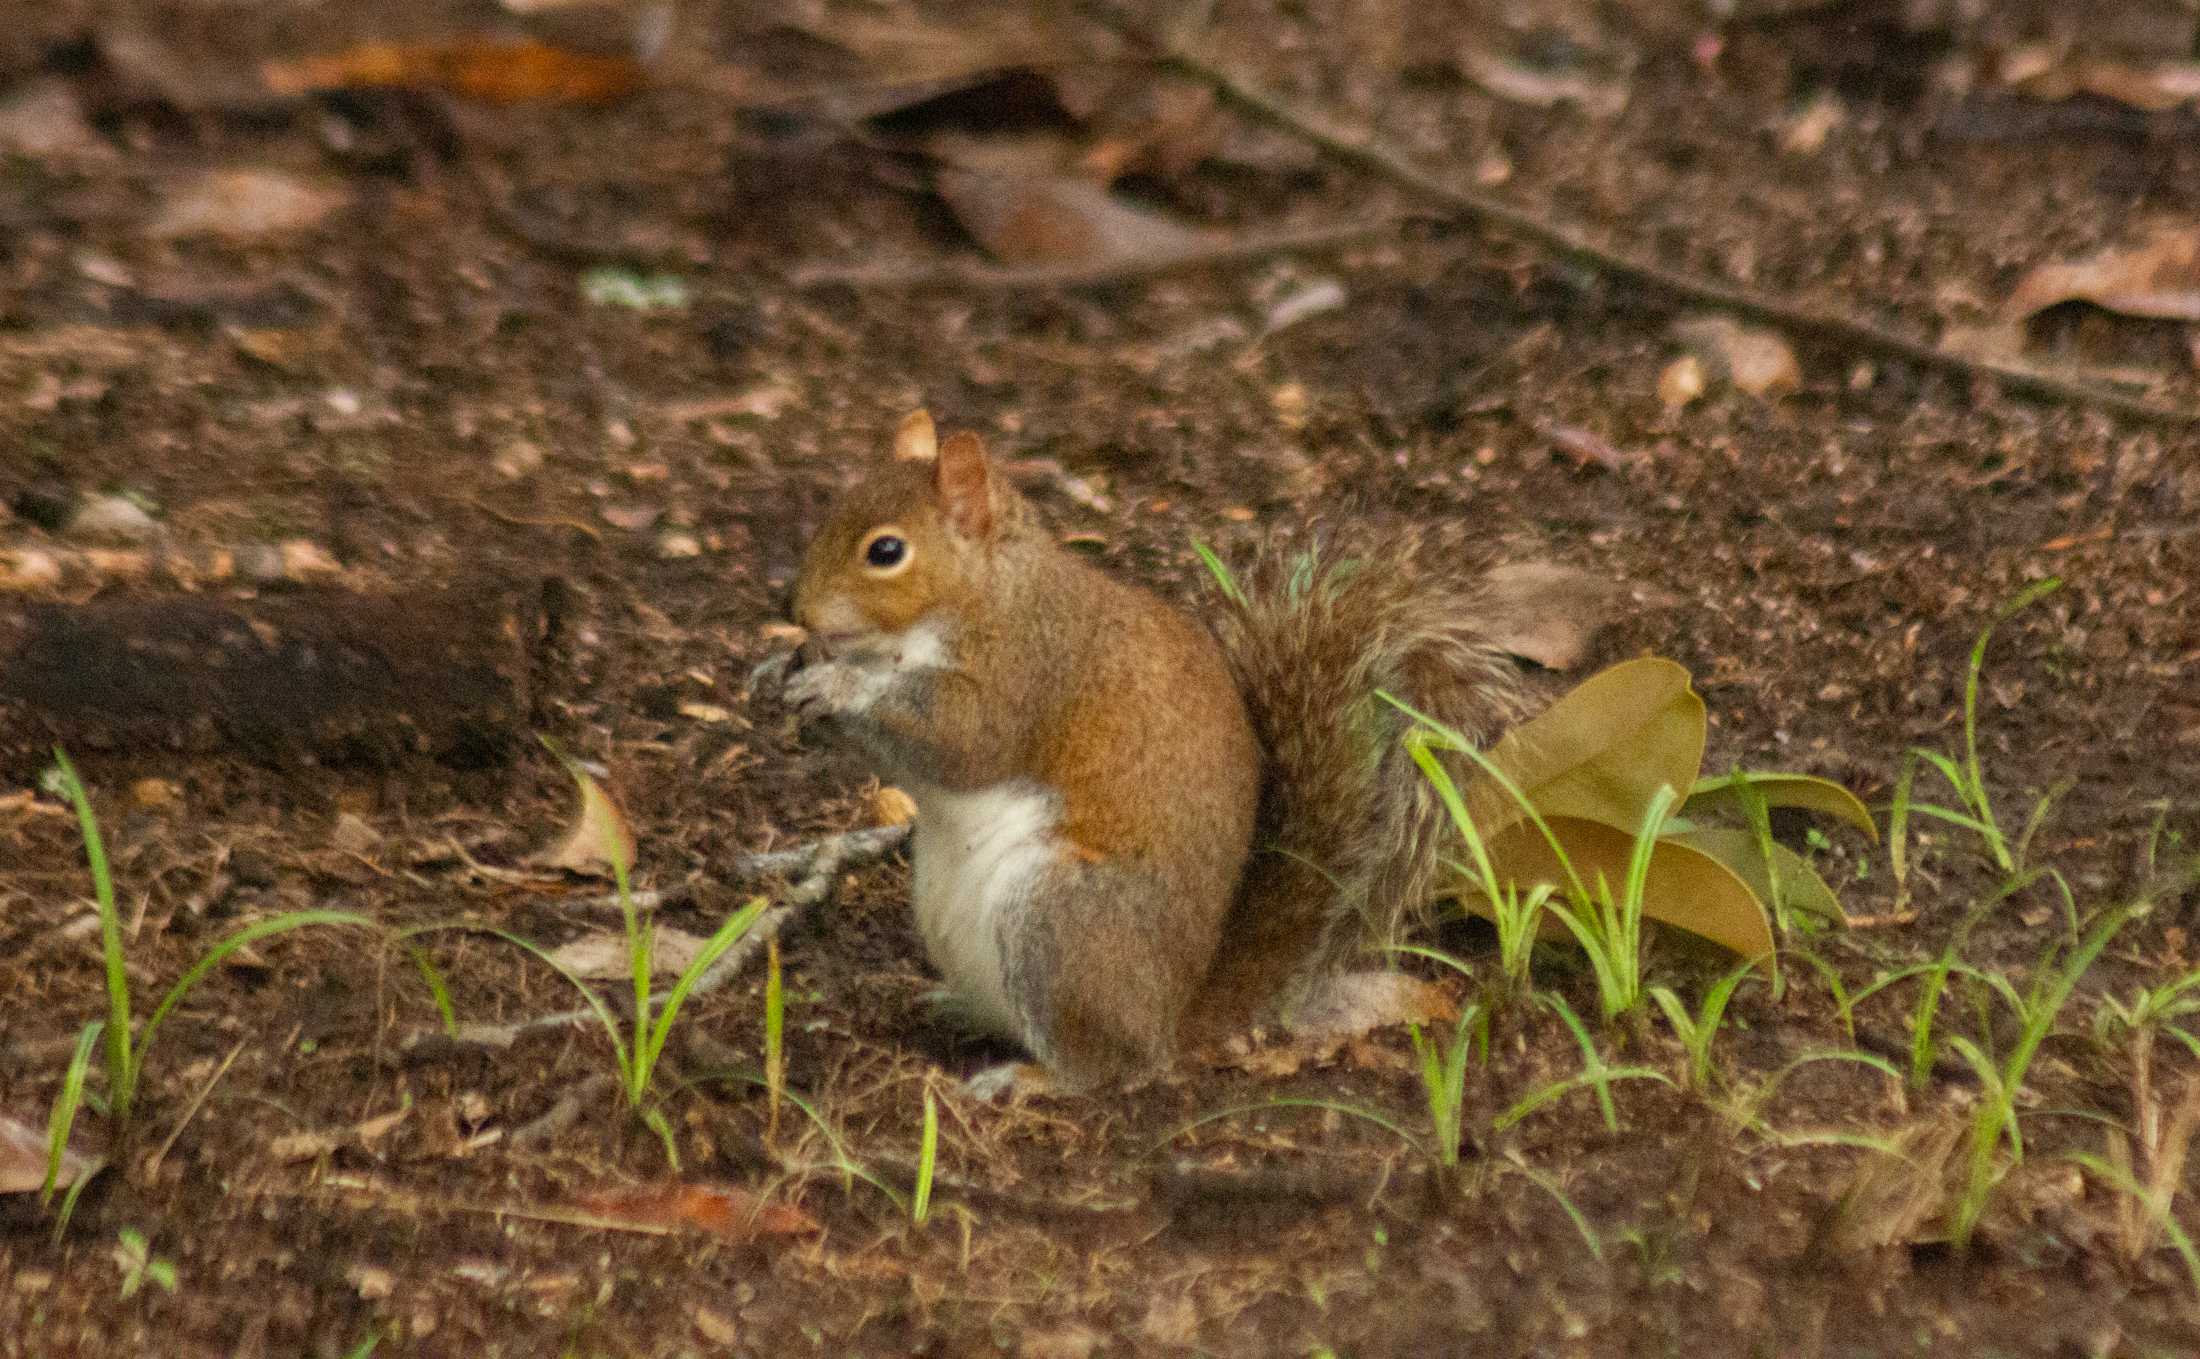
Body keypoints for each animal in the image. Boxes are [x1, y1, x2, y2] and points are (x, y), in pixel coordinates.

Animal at [765, 406, 1610, 1086]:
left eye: (885, 551)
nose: (796, 607)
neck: (985, 591)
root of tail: (1172, 1017)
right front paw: (785, 668)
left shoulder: (1026, 673)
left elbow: (959, 744)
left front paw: (837, 687)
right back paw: (959, 1010)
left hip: (1059, 921)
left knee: (1108, 1069)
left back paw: (1030, 1078)